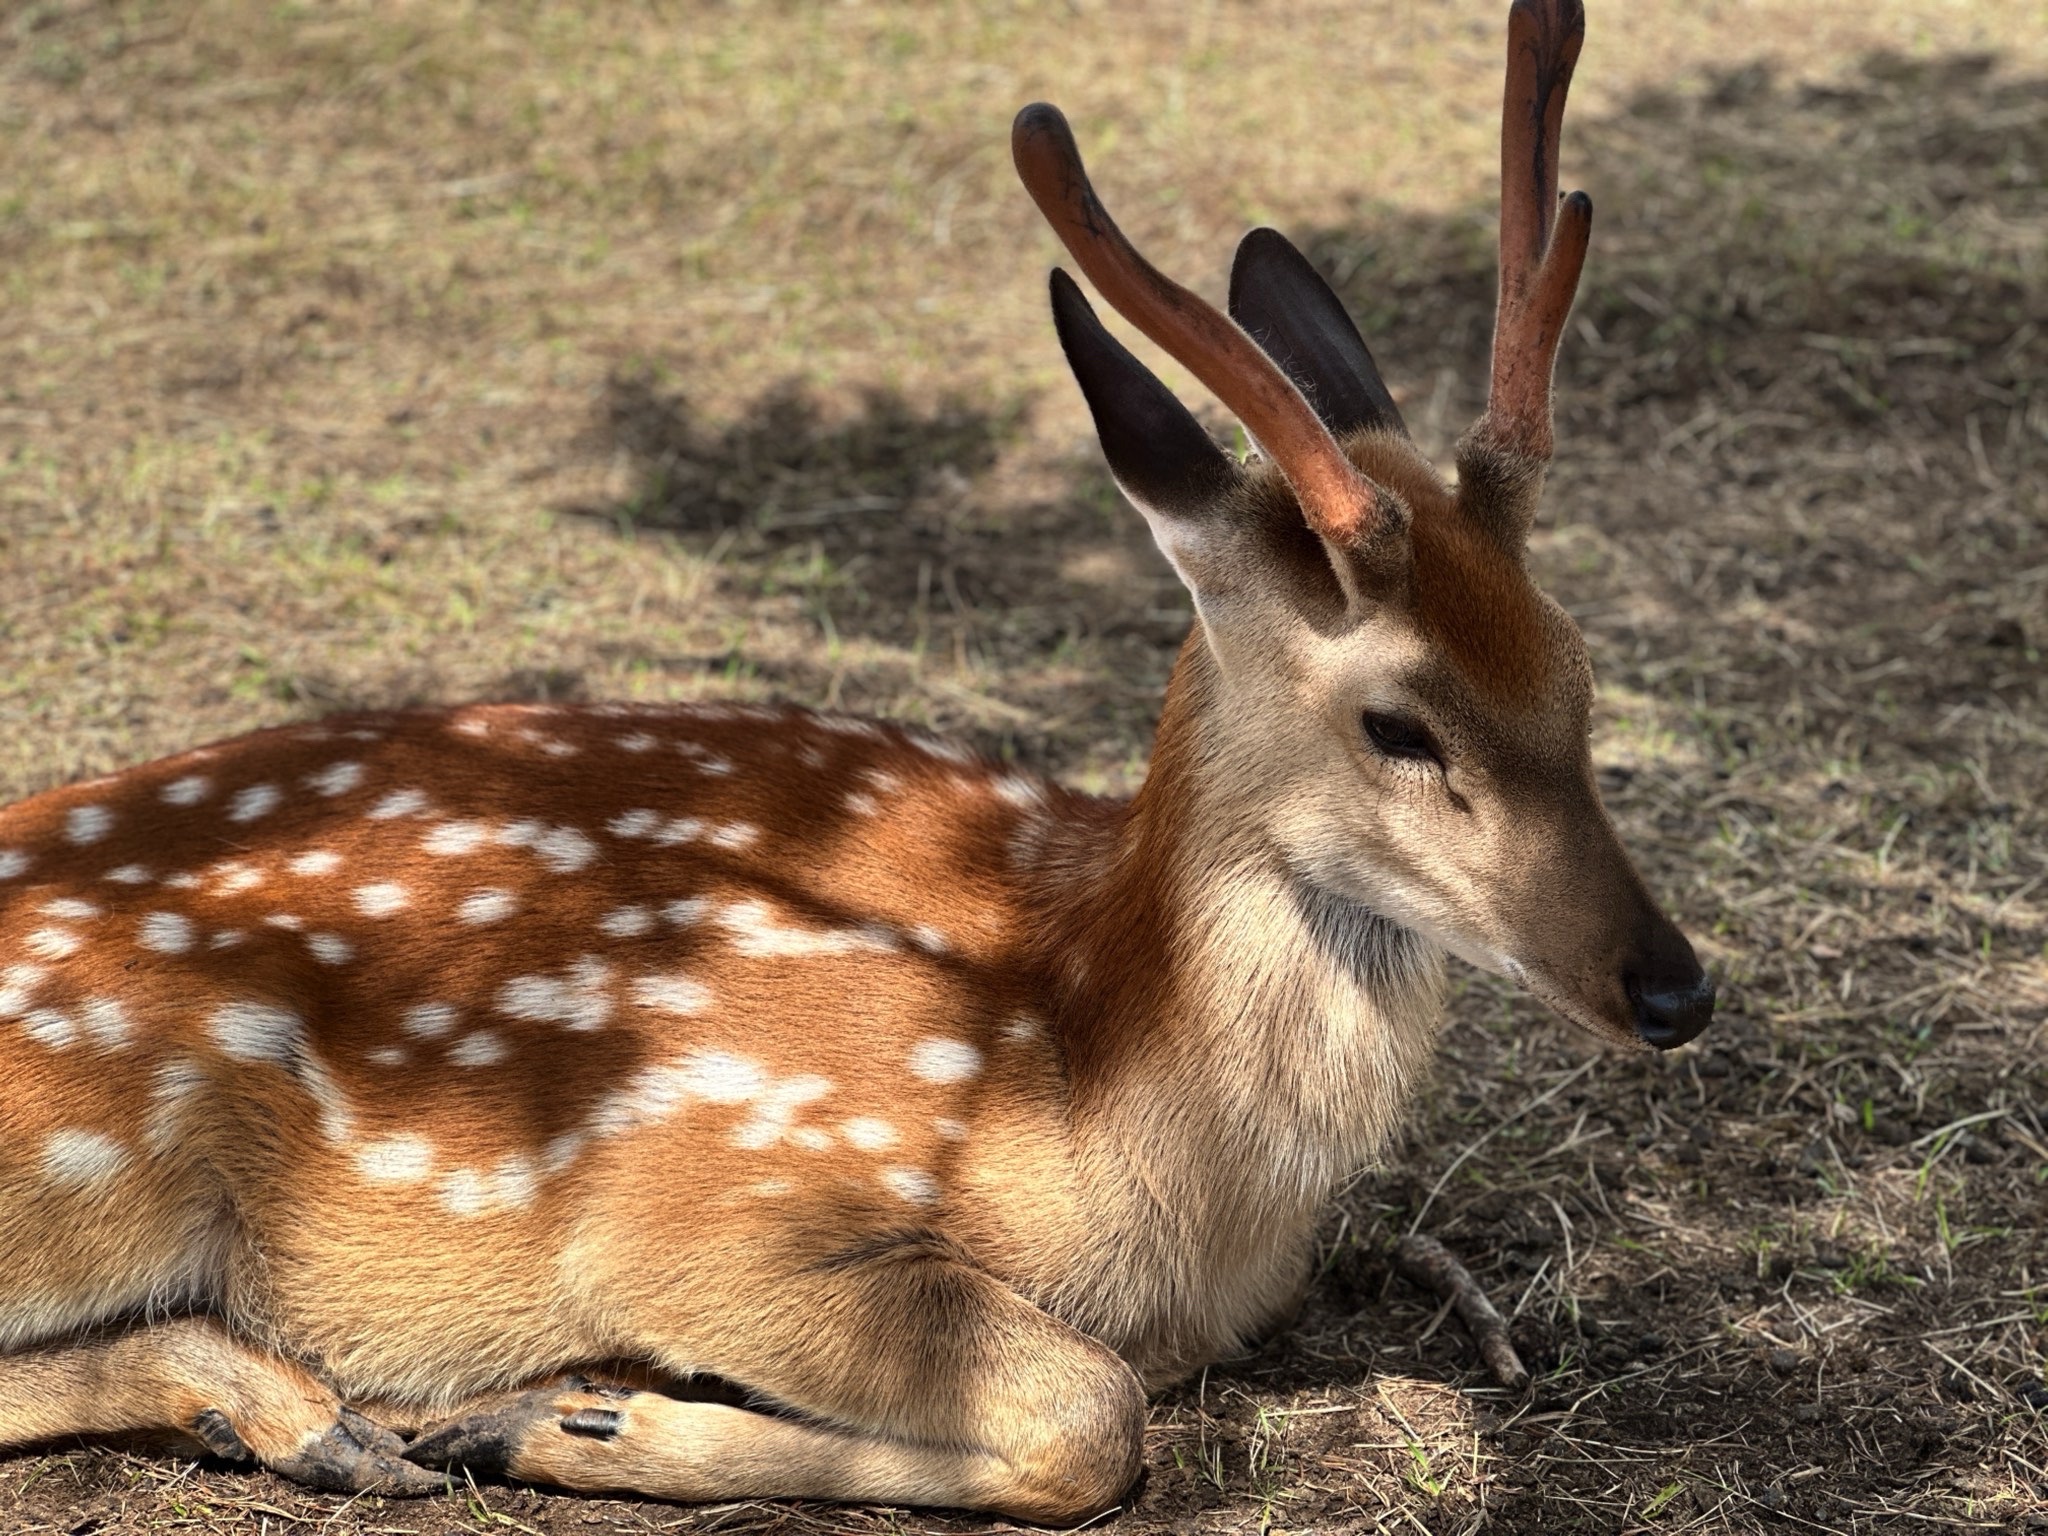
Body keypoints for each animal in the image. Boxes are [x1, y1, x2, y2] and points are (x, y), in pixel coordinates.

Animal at [0, 0, 1711, 1522]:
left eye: (1577, 665)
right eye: (1397, 720)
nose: (1674, 986)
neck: (1122, 1123)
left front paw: (554, 1418)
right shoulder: (708, 1202)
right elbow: (1091, 1413)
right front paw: (566, 1416)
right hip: (102, 1152)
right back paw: (317, 1416)